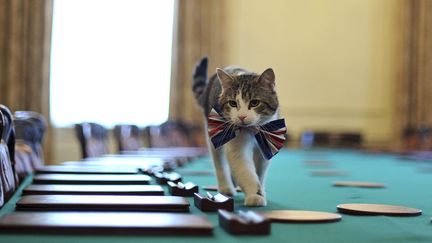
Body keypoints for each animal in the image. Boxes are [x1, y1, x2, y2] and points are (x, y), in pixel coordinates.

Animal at [192, 57, 280, 207]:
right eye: (233, 103)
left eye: (254, 102)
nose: (242, 116)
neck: (251, 131)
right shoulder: (236, 146)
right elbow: (245, 171)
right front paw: (254, 195)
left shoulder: (265, 144)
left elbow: (260, 172)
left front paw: (260, 190)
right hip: (214, 134)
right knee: (220, 163)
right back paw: (226, 187)